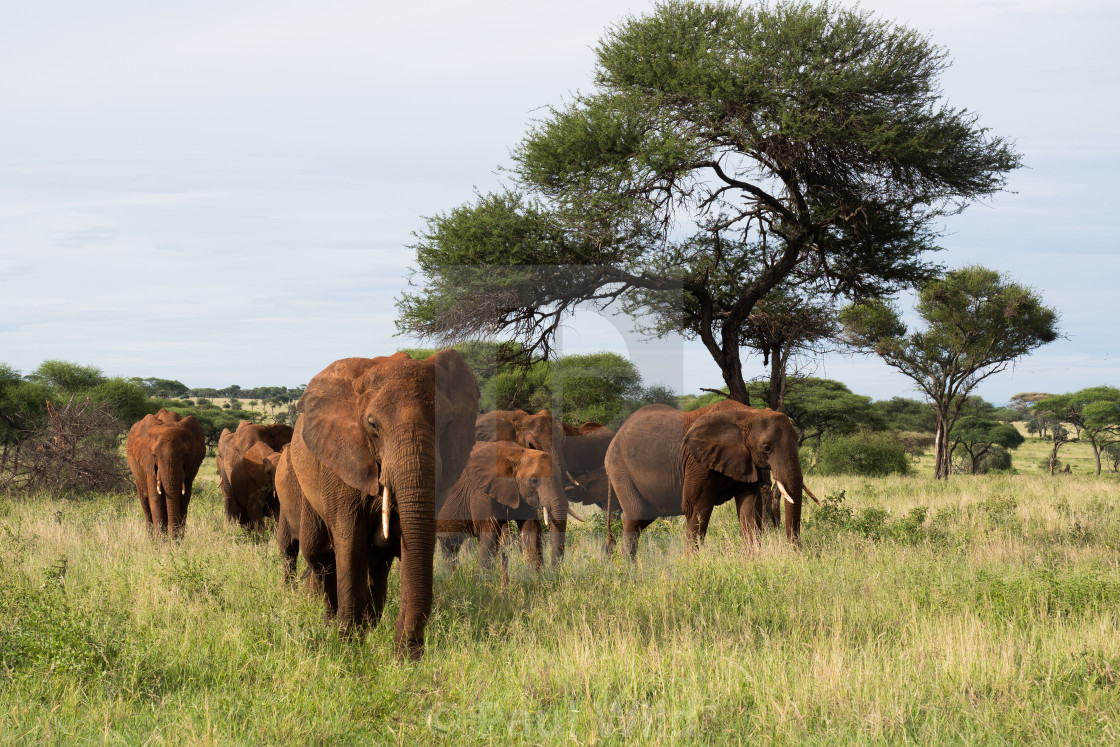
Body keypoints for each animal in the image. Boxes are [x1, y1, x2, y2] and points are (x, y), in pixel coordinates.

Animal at [127, 409, 206, 537]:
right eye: (154, 455)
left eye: (185, 454)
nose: (173, 539)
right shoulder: (149, 464)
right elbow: (156, 499)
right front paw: (161, 541)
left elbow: (184, 499)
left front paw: (178, 540)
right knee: (145, 504)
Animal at [288, 351, 477, 658]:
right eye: (373, 425)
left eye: (448, 423)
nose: (409, 651)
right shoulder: (342, 459)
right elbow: (350, 540)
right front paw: (348, 647)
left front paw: (404, 657)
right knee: (320, 554)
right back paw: (333, 623)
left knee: (378, 561)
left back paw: (369, 623)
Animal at [436, 441, 560, 582]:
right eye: (534, 480)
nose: (554, 572)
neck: (516, 453)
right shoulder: (481, 492)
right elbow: (489, 533)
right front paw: (485, 583)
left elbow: (531, 529)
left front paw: (536, 580)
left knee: (449, 546)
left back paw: (450, 580)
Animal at [604, 403, 824, 555]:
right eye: (766, 448)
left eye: (797, 441)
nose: (795, 552)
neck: (748, 414)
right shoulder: (697, 462)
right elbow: (696, 509)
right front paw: (690, 567)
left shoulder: (746, 462)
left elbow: (749, 509)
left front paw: (753, 561)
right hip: (619, 469)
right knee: (635, 517)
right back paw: (627, 569)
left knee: (642, 520)